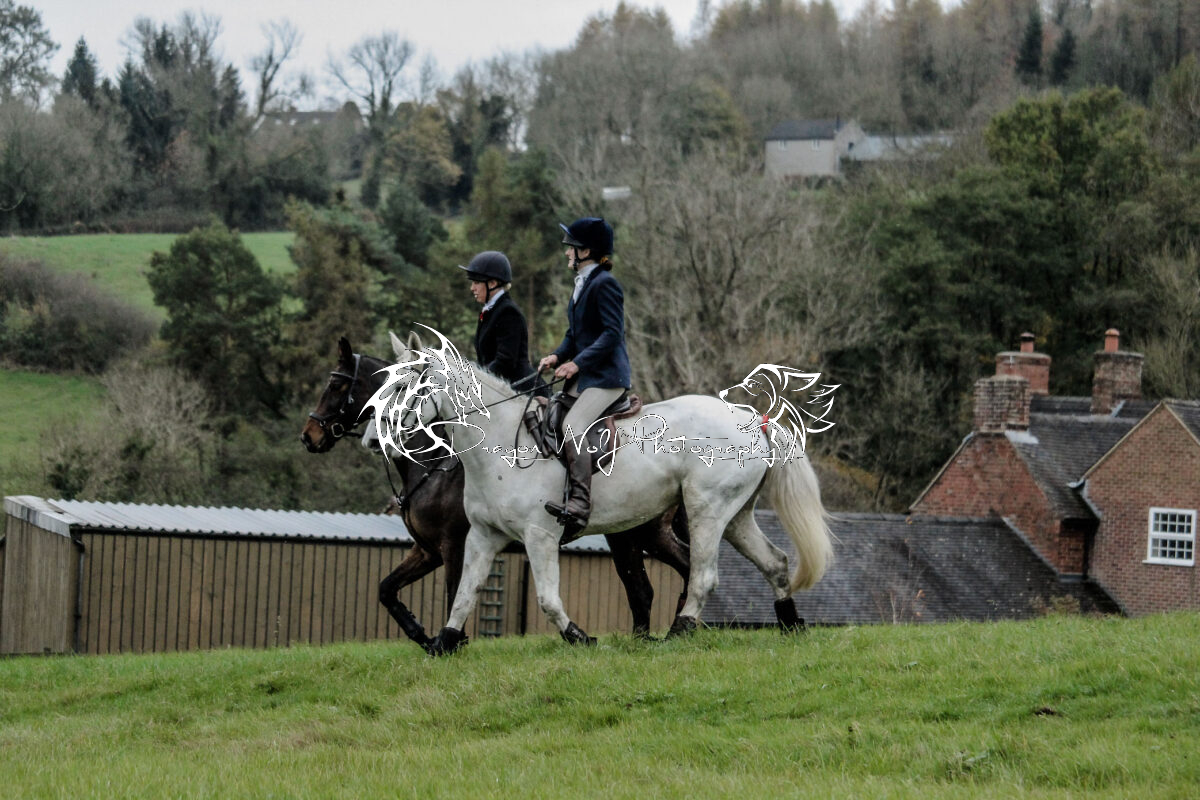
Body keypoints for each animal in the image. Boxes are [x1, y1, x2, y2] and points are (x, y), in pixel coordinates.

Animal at [300, 335, 691, 651]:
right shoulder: (428, 549)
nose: (308, 437)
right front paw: (425, 635)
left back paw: (678, 631)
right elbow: (387, 589)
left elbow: (453, 593)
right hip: (626, 533)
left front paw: (454, 640)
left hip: (645, 530)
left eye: (335, 385)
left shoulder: (453, 545)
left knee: (679, 571)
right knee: (644, 587)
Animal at [373, 330, 833, 654]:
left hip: (706, 508)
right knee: (775, 562)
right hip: (735, 514)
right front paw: (443, 642)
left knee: (702, 575)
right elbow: (464, 594)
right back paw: (791, 625)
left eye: (405, 387)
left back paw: (679, 632)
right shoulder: (483, 536)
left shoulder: (540, 535)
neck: (500, 442)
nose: (383, 436)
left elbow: (547, 598)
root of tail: (752, 419)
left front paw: (580, 637)